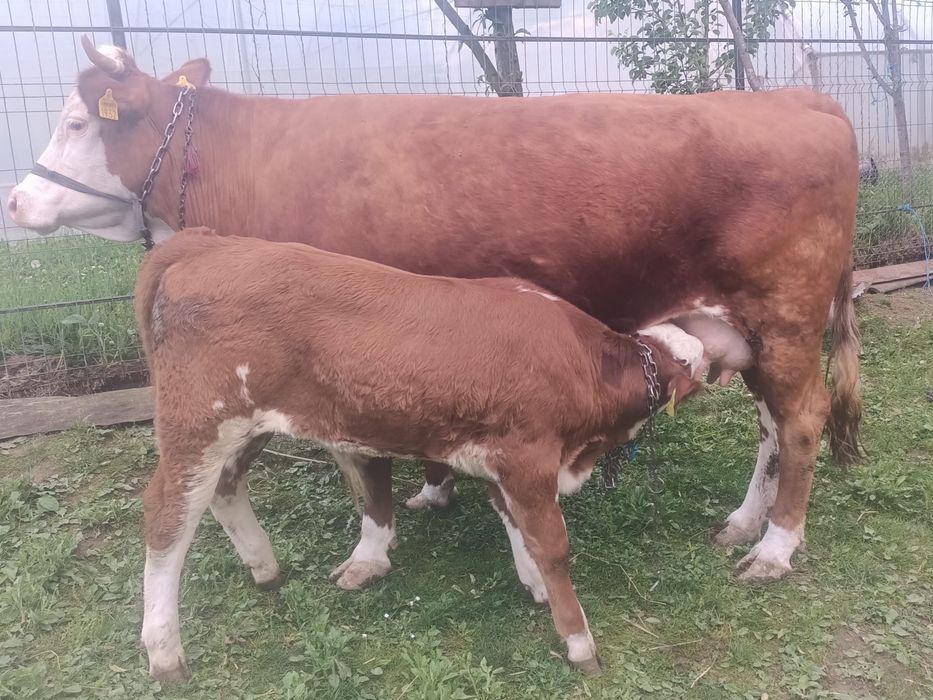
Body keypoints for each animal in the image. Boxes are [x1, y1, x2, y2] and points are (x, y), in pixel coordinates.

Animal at [7, 38, 863, 585]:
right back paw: (744, 520)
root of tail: (796, 98)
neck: (250, 160)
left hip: (783, 313)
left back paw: (775, 548)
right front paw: (438, 487)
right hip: (749, 327)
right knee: (769, 423)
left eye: (76, 123)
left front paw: (372, 549)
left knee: (800, 420)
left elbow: (365, 469)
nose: (15, 200)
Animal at [134, 227, 750, 680]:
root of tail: (207, 244)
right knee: (167, 517)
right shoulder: (528, 457)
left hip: (248, 424)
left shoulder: (499, 459)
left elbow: (516, 527)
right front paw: (577, 639)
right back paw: (164, 650)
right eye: (694, 365)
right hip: (198, 422)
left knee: (225, 489)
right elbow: (553, 546)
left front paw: (532, 585)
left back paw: (264, 568)